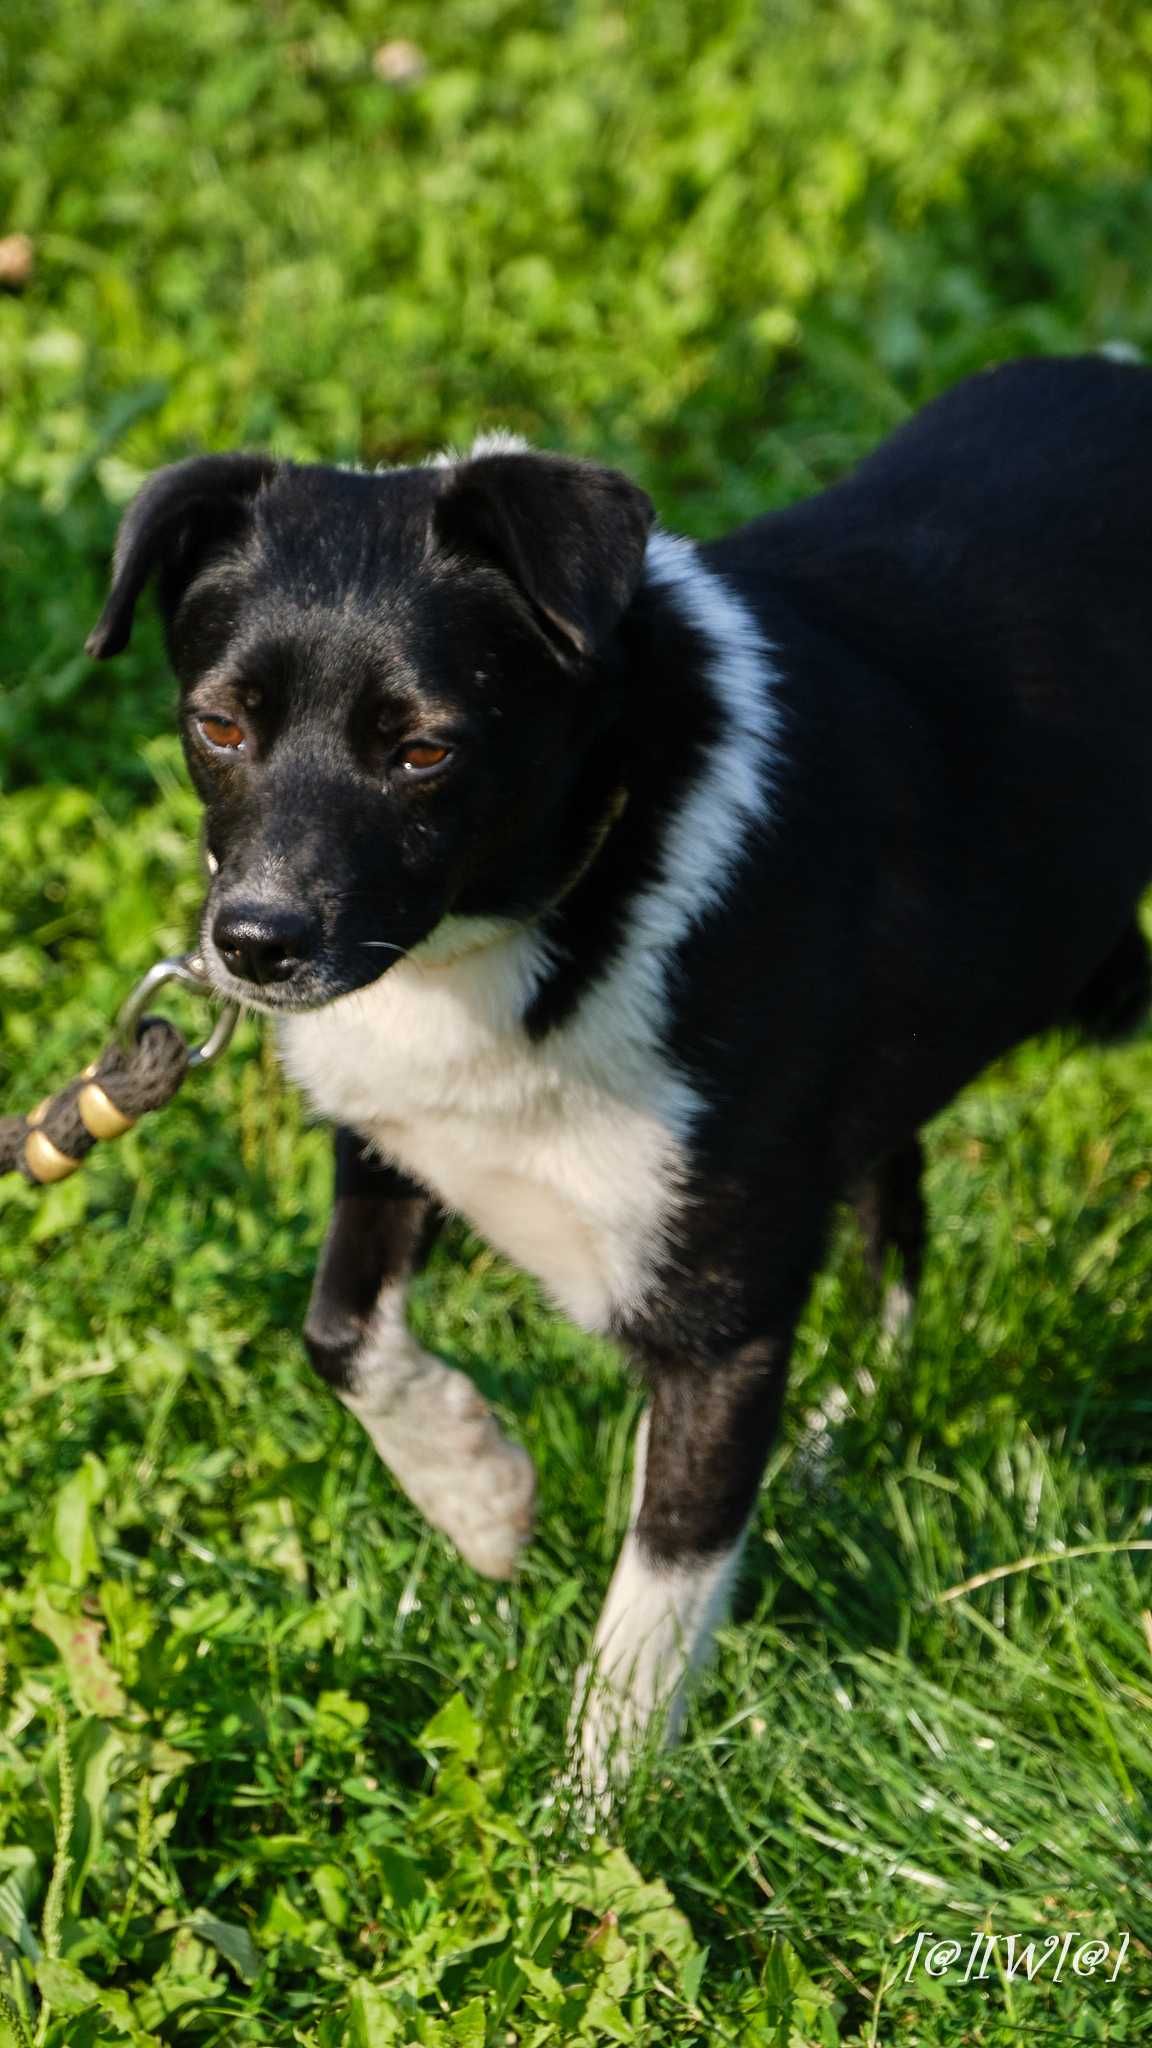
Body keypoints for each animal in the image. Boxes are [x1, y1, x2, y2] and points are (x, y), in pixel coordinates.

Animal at [85, 360, 1147, 1802]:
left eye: (424, 750)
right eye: (219, 725)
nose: (252, 945)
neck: (545, 907)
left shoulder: (721, 1320)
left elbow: (656, 1602)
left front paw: (594, 1821)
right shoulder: (396, 1134)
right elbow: (341, 1329)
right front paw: (480, 1495)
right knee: (895, 1217)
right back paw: (839, 1435)